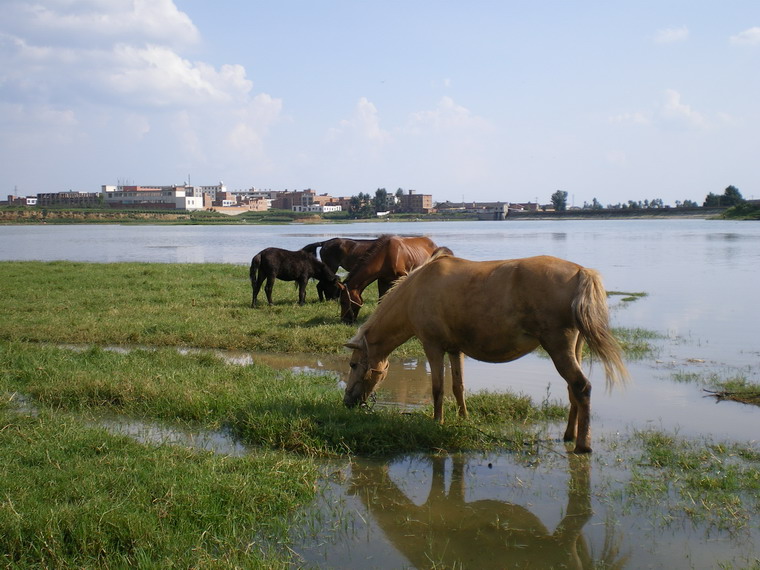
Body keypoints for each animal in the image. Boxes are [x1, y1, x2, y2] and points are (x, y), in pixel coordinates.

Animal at [344, 251, 628, 450]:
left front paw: (437, 422)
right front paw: (464, 418)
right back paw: (570, 435)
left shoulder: (433, 347)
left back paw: (583, 445)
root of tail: (580, 272)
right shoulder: (455, 350)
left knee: (581, 387)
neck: (417, 289)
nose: (348, 402)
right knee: (573, 391)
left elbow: (438, 388)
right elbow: (458, 387)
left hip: (559, 348)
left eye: (353, 364)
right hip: (574, 349)